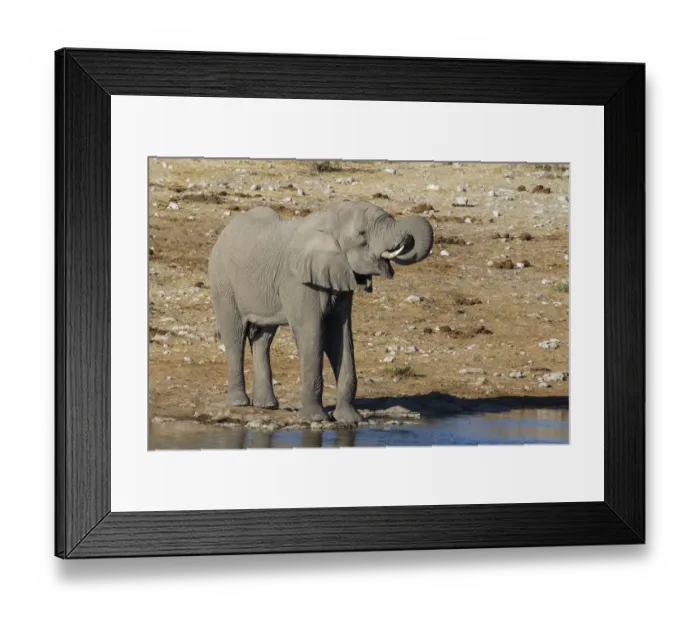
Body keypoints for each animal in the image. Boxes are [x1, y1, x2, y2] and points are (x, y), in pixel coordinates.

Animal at [208, 200, 433, 423]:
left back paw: (267, 405)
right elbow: (312, 333)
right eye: (362, 234)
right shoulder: (297, 281)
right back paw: (239, 403)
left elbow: (341, 337)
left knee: (263, 339)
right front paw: (315, 419)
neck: (330, 221)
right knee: (235, 336)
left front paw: (350, 420)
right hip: (223, 282)